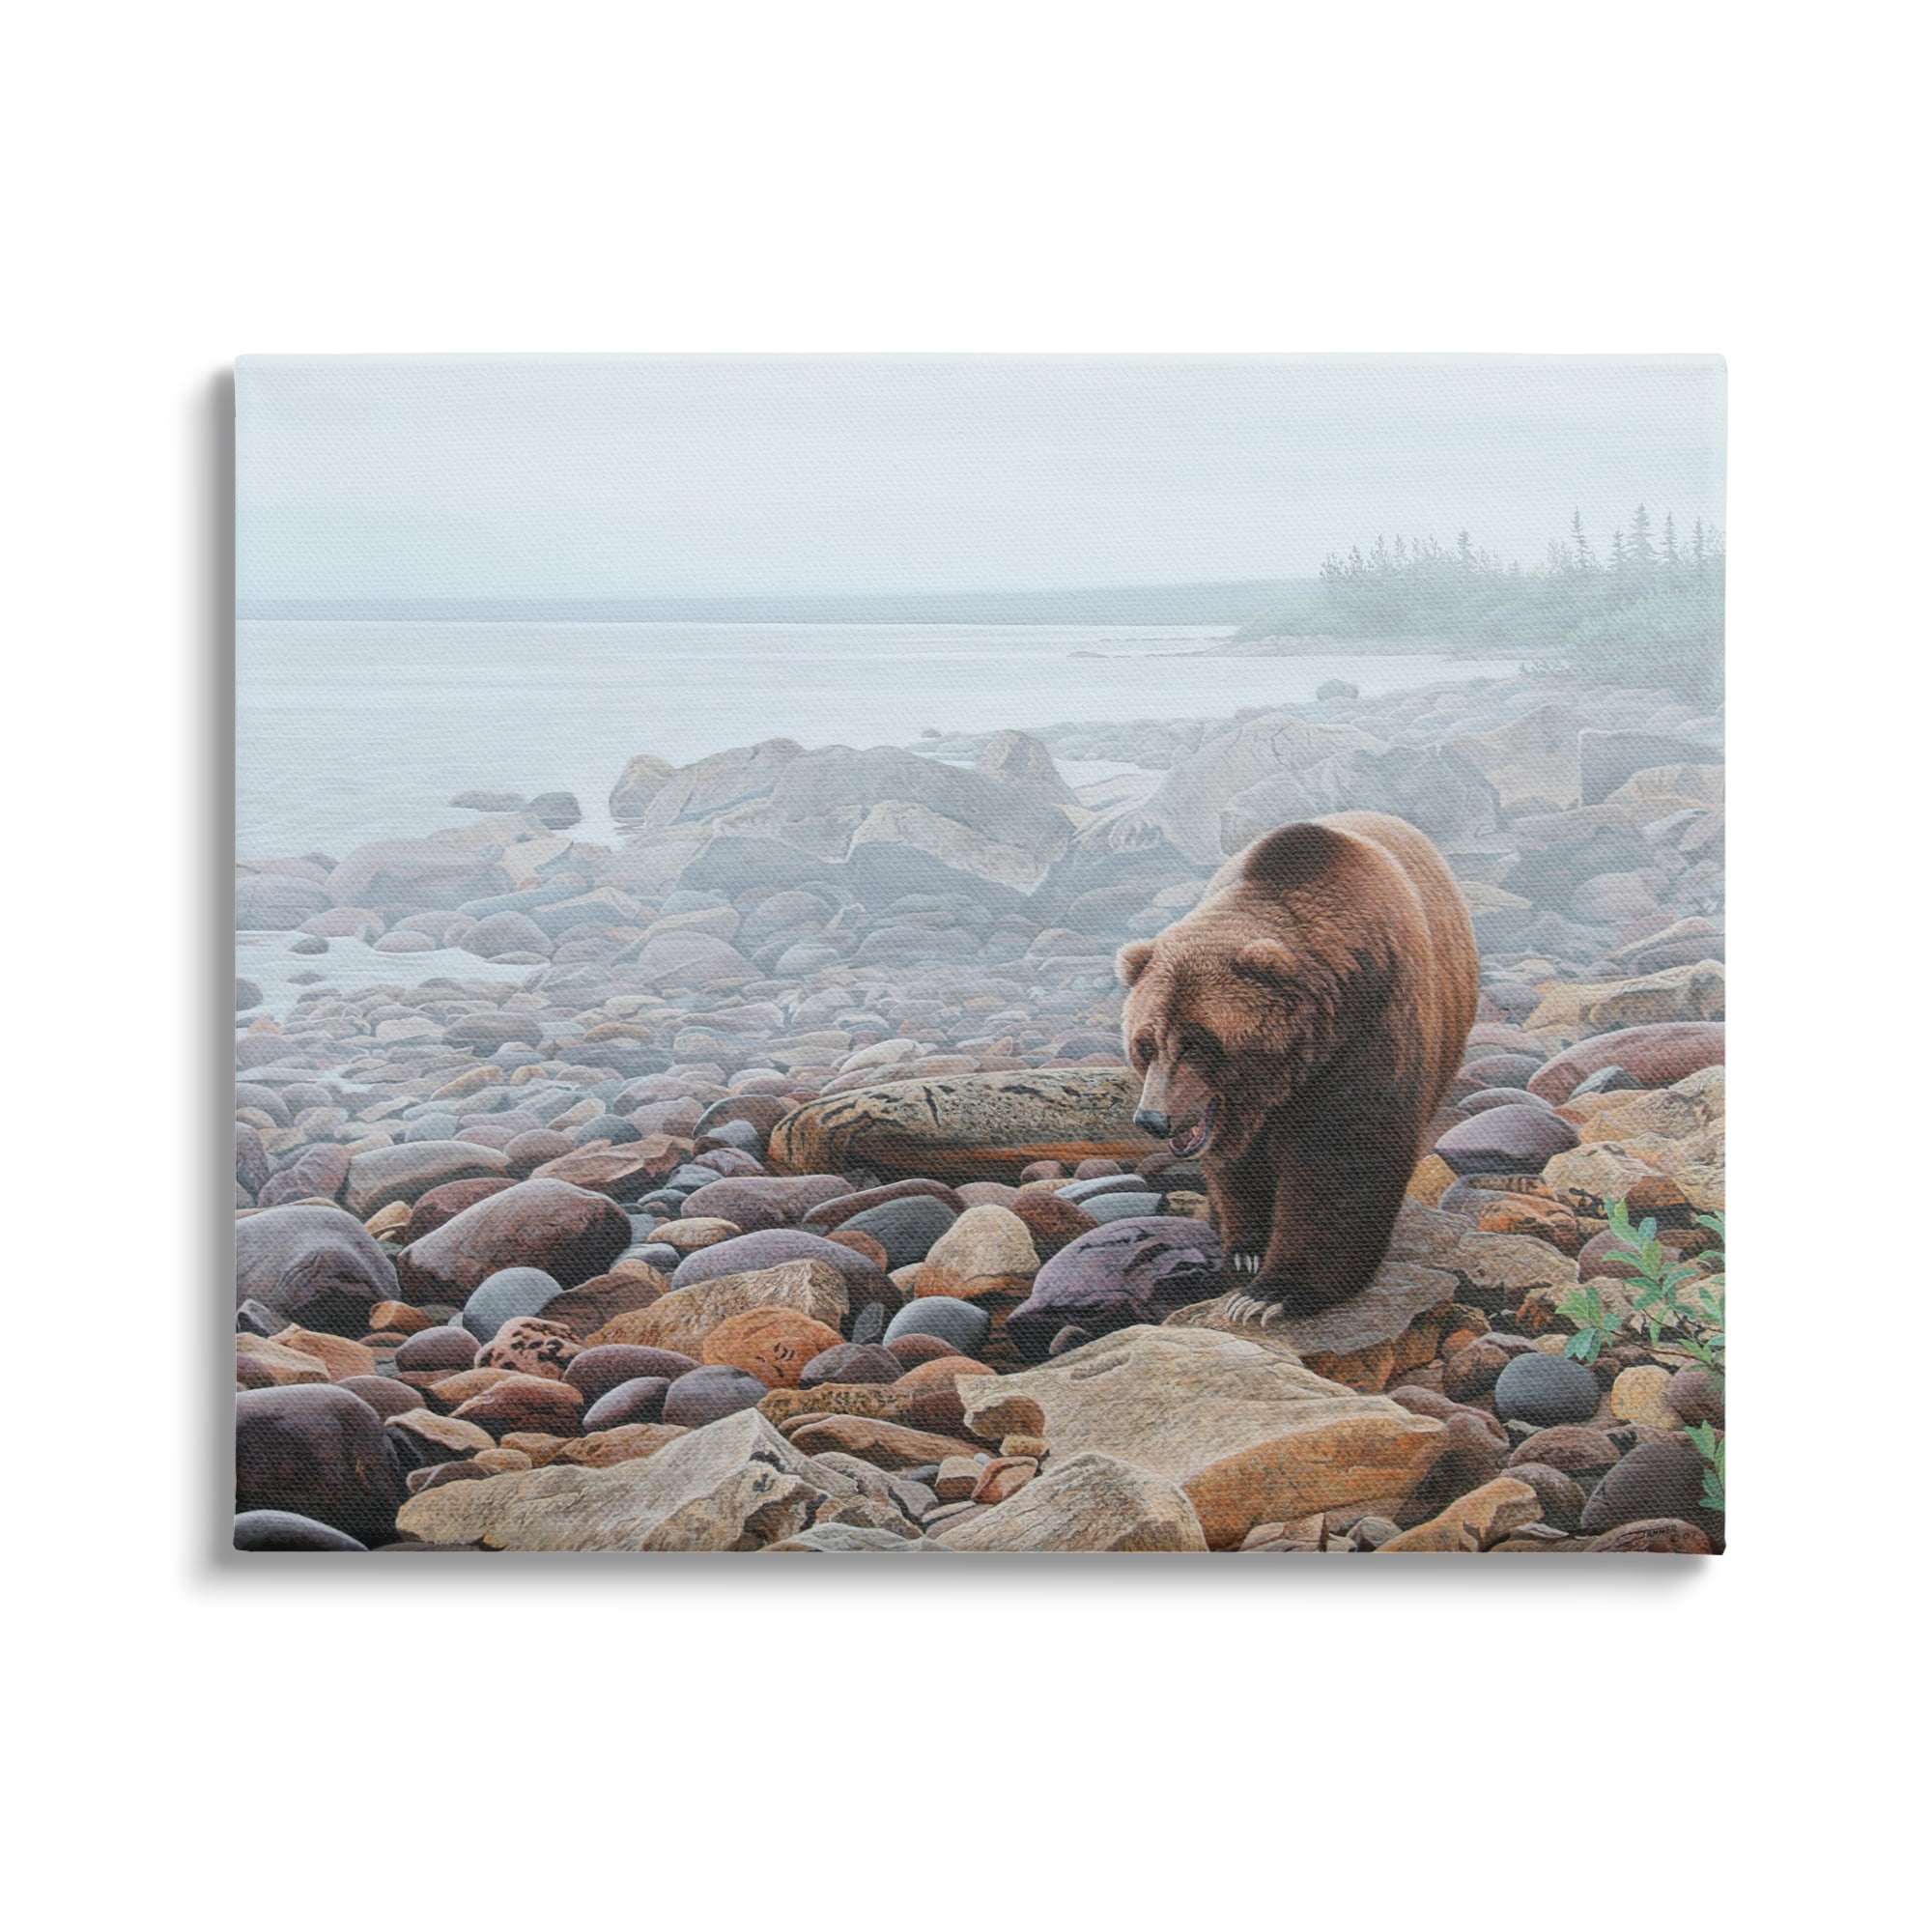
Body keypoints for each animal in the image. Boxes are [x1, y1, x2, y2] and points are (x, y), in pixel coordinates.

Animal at [1116, 811, 1478, 1323]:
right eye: (1146, 1044)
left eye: (1197, 1044)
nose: (1152, 1118)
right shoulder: (1238, 1111)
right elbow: (1235, 1165)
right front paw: (1247, 1249)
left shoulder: (1368, 1029)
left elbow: (1342, 1154)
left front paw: (1271, 1293)